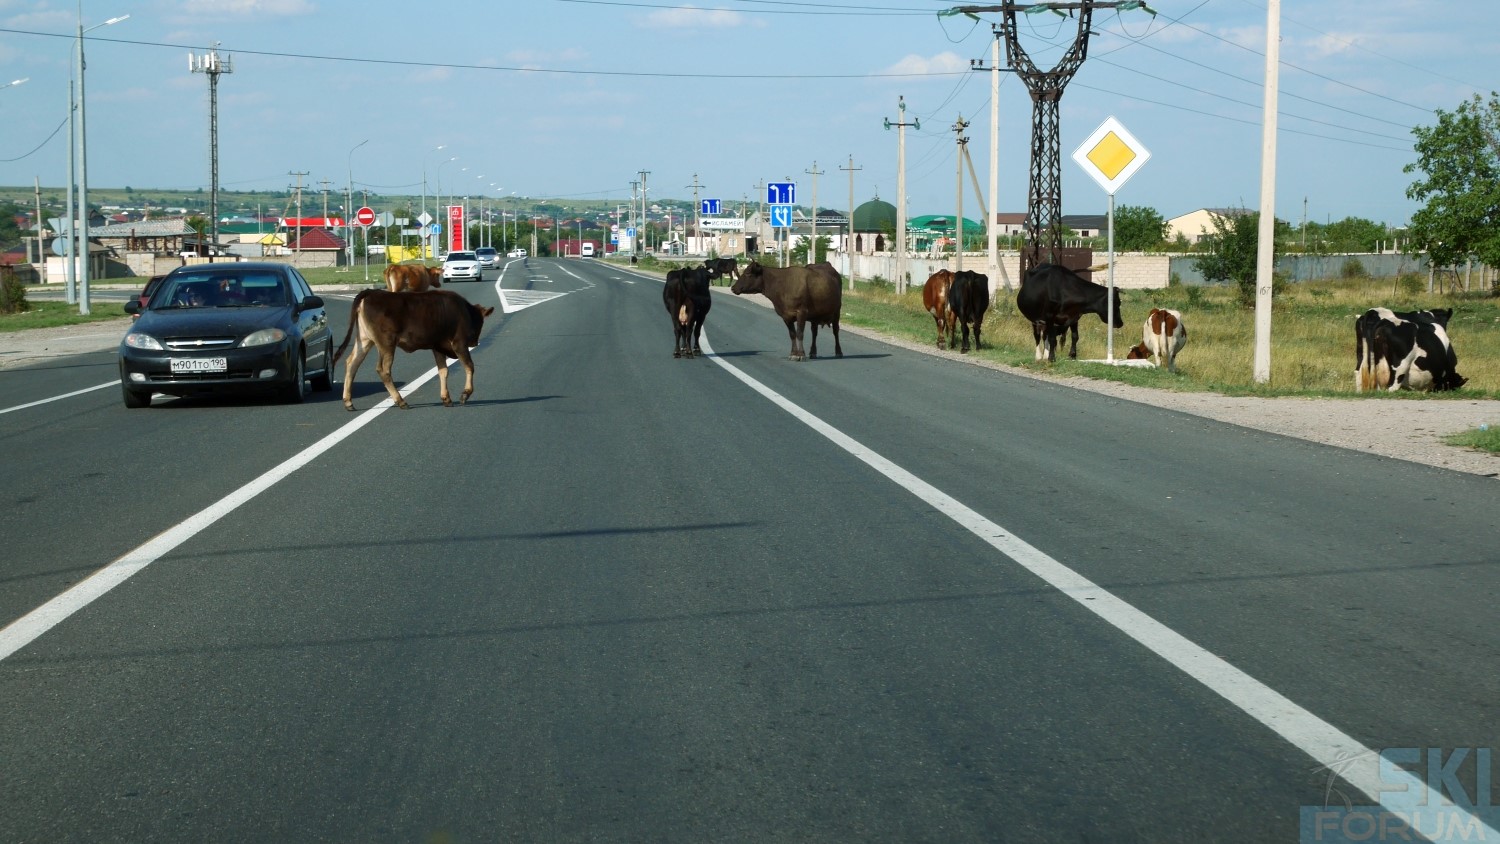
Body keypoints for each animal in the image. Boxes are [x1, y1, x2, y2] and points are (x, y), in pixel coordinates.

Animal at [331, 289, 495, 410]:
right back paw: (400, 401)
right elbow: (469, 367)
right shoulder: (459, 343)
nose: (475, 342)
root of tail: (371, 292)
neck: (465, 311)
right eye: (481, 322)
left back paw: (348, 402)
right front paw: (465, 394)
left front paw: (446, 398)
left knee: (352, 363)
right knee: (383, 369)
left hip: (365, 340)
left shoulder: (438, 346)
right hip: (386, 344)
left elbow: (443, 371)